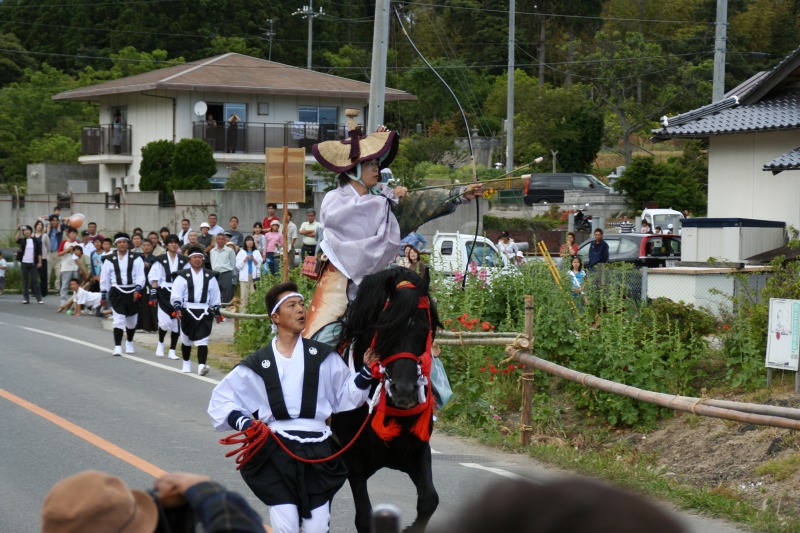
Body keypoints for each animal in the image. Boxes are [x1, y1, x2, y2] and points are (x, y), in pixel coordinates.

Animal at [332, 268, 444, 532]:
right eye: (386, 329)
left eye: (425, 328)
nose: (404, 390)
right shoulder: (353, 459)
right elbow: (364, 517)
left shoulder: (416, 450)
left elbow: (429, 500)